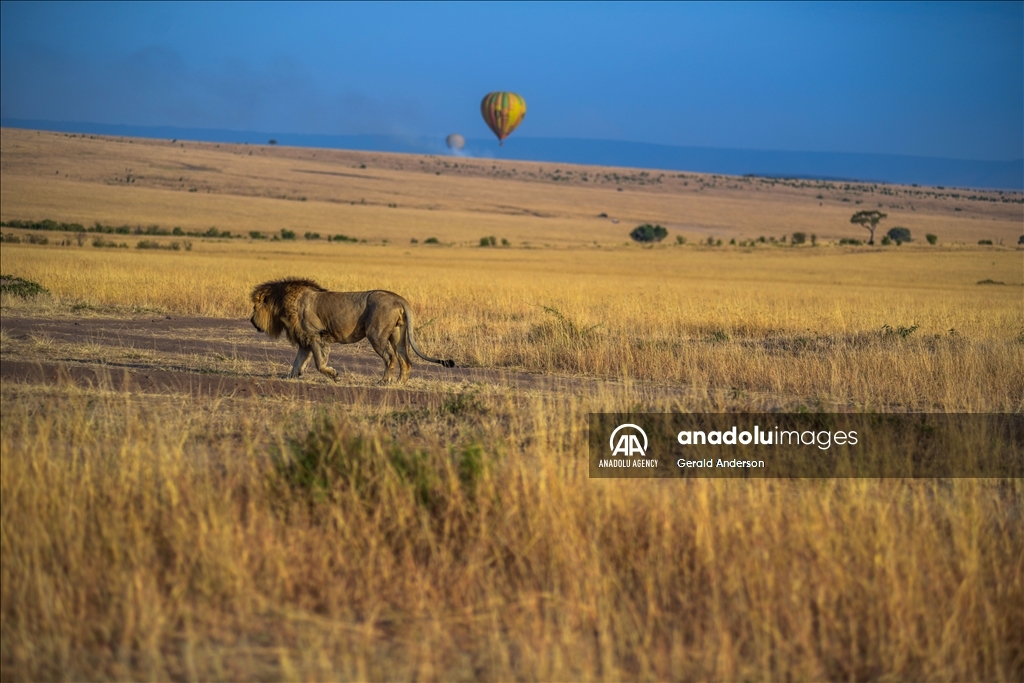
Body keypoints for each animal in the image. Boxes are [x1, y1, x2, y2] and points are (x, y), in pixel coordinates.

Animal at [249, 278, 454, 385]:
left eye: (254, 307)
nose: (251, 321)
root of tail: (398, 298)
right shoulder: (305, 341)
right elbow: (298, 362)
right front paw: (290, 377)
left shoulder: (316, 336)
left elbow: (319, 363)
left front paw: (334, 375)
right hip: (398, 336)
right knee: (406, 361)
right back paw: (399, 383)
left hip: (376, 334)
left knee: (390, 358)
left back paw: (384, 381)